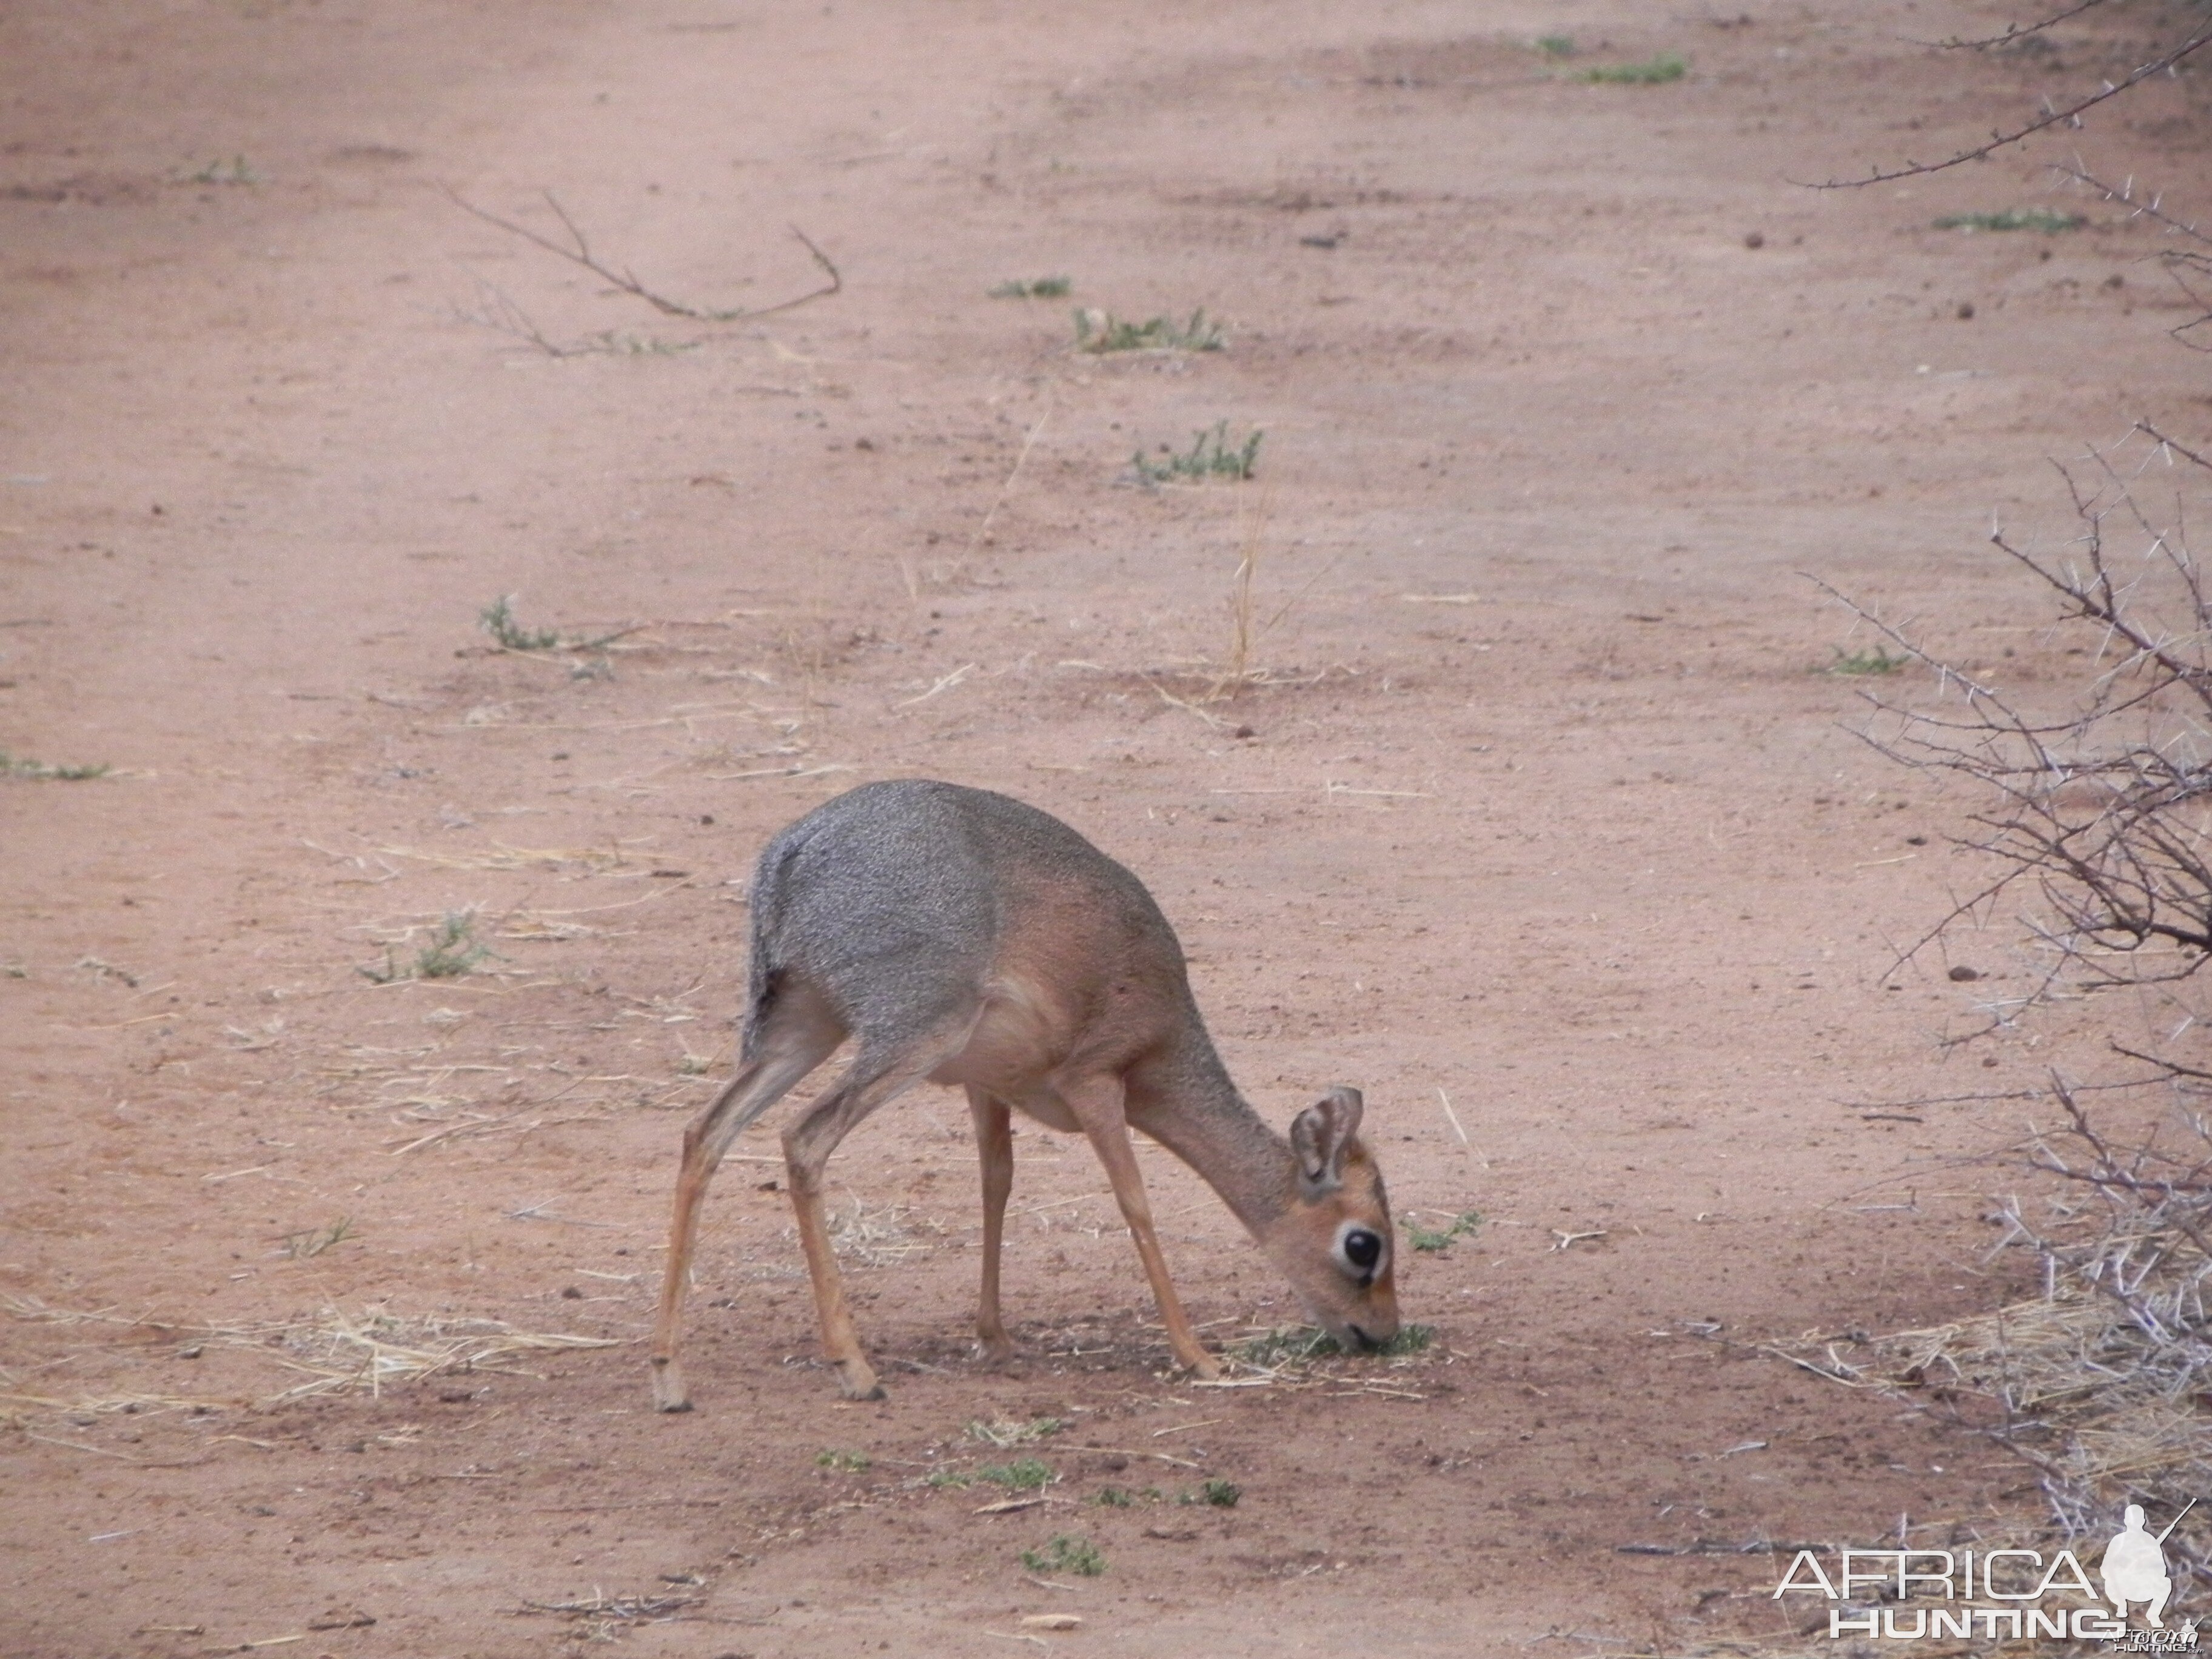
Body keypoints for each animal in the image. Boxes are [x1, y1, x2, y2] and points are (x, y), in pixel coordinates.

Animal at [646, 787, 1398, 1407]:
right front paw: (1198, 1356)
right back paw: (855, 1370)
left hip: (799, 1029)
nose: (1383, 1333)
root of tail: (791, 854)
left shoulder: (988, 1087)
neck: (1163, 1033)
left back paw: (670, 1377)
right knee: (803, 1137)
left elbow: (996, 1184)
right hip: (907, 1036)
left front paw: (995, 1335)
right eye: (1364, 1244)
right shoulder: (1096, 1083)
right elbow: (1135, 1202)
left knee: (704, 1133)